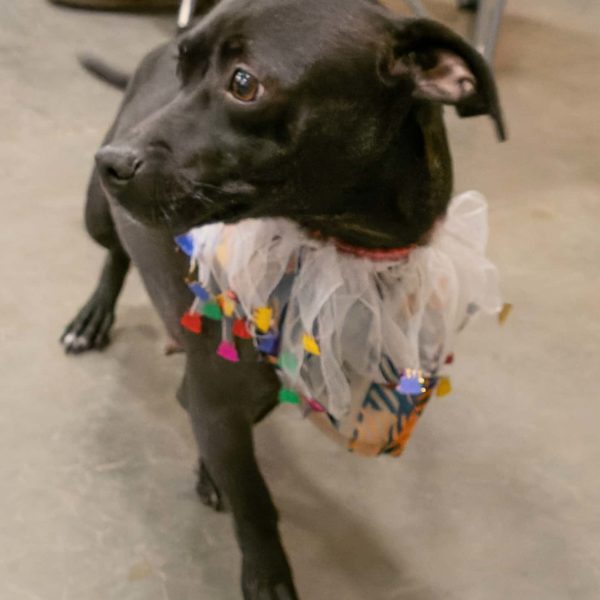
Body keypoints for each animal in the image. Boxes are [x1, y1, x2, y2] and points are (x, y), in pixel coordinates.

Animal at [61, 0, 504, 597]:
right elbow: (256, 503)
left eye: (244, 83)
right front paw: (268, 575)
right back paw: (93, 318)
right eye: (183, 65)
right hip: (98, 215)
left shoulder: (235, 397)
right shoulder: (223, 402)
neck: (346, 244)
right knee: (115, 255)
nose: (111, 160)